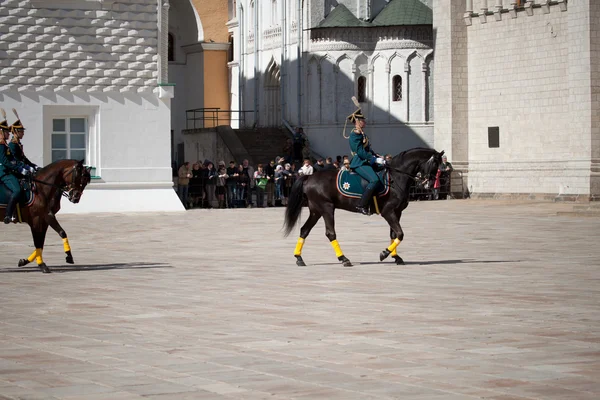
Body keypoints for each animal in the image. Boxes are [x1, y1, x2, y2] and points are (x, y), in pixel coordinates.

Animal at [284, 147, 442, 266]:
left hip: (316, 211)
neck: (396, 177)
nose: (429, 184)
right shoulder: (388, 212)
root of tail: (309, 177)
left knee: (304, 230)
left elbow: (394, 234)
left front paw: (396, 257)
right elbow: (400, 234)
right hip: (326, 208)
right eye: (435, 165)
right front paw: (384, 253)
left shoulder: (397, 212)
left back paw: (299, 257)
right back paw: (343, 258)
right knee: (330, 233)